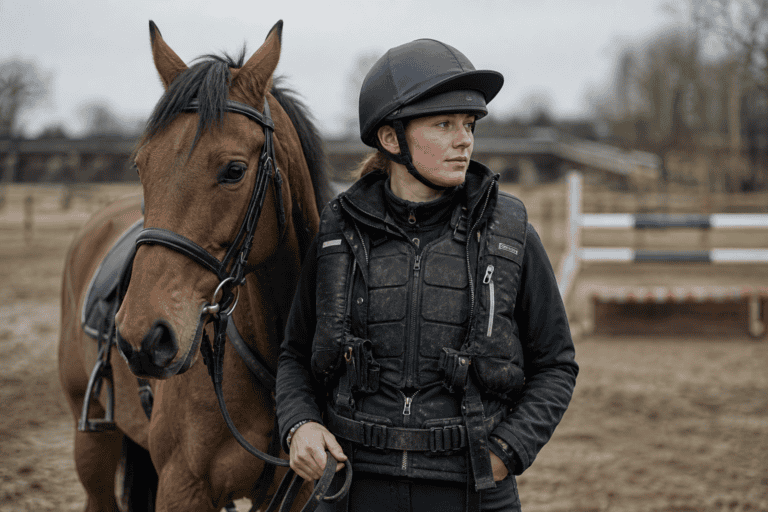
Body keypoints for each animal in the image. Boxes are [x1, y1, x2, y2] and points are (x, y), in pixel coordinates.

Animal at [58, 20, 333, 512]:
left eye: (234, 170)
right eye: (141, 165)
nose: (142, 337)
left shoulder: (299, 488)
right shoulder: (182, 485)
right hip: (91, 441)